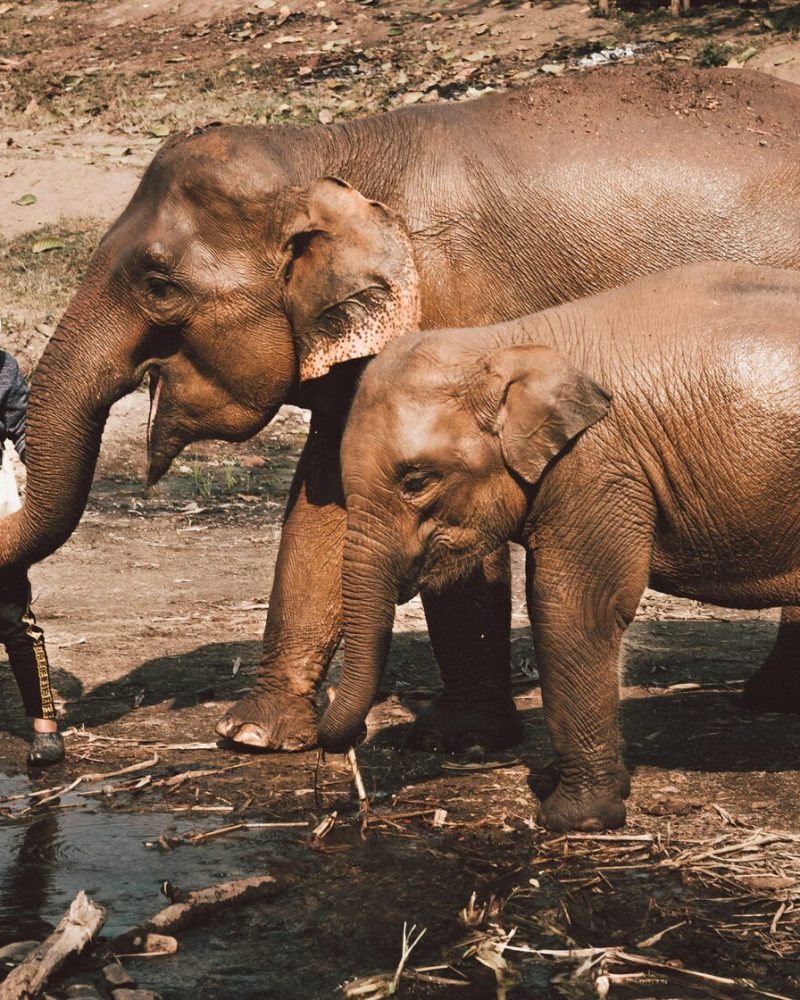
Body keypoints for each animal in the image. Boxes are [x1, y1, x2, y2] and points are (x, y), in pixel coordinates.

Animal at [4, 66, 800, 753]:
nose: (62, 715)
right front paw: (255, 736)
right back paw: (768, 698)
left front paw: (461, 740)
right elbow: (323, 504)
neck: (327, 153)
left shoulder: (460, 306)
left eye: (159, 283)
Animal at [318, 259, 800, 831]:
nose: (355, 737)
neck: (507, 343)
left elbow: (576, 606)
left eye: (416, 481)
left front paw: (575, 821)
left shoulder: (596, 466)